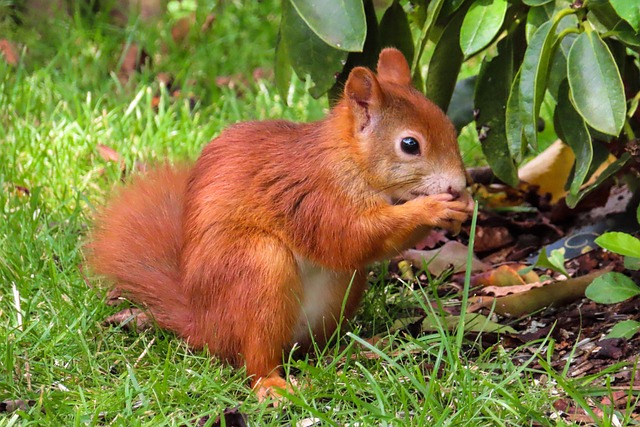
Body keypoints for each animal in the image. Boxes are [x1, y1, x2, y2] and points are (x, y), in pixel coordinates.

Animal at [87, 47, 472, 402]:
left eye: (449, 126)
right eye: (409, 144)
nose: (458, 185)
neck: (348, 158)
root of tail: (204, 326)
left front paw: (463, 206)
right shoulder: (315, 197)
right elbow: (350, 237)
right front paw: (431, 209)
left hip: (340, 292)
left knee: (310, 345)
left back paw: (355, 348)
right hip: (259, 267)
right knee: (255, 358)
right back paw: (273, 384)